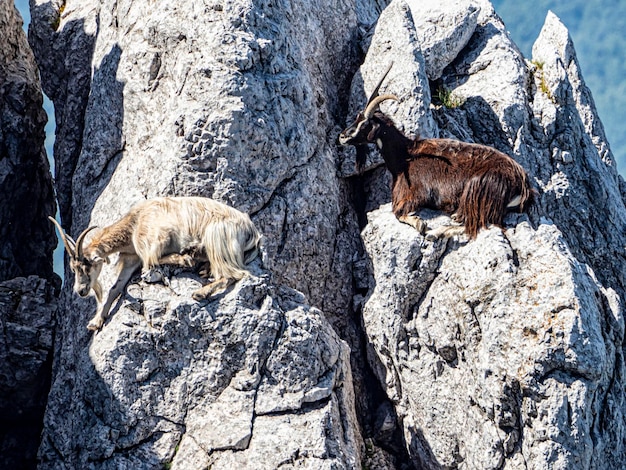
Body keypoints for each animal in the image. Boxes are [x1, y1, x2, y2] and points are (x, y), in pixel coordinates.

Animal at [50, 196, 260, 332]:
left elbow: (150, 262)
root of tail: (253, 232)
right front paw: (96, 322)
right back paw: (204, 269)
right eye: (73, 268)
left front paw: (187, 256)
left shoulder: (155, 240)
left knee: (234, 274)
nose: (80, 291)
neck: (134, 223)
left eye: (87, 265)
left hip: (216, 236)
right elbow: (115, 288)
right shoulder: (131, 259)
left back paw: (201, 290)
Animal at [338, 66, 532, 239]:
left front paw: (420, 223)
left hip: (477, 188)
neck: (405, 156)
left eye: (365, 124)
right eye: (356, 118)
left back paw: (435, 233)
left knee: (472, 225)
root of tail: (523, 185)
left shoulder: (414, 193)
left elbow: (398, 213)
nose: (342, 136)